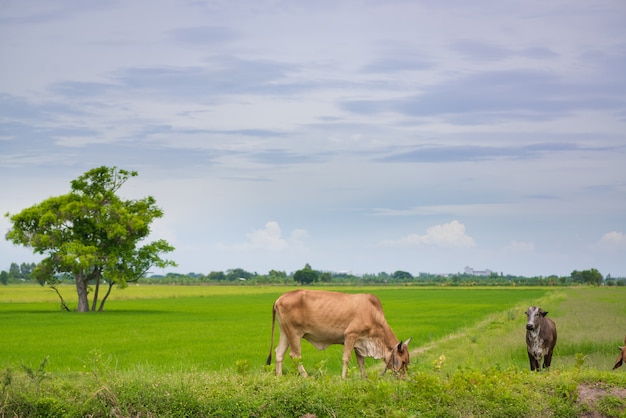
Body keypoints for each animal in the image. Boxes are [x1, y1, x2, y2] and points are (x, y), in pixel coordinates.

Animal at [264, 290, 410, 378]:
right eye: (403, 362)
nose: (404, 378)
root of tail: (280, 298)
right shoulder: (350, 335)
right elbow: (346, 358)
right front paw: (343, 378)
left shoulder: (360, 341)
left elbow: (361, 361)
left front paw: (364, 378)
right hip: (294, 333)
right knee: (295, 355)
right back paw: (306, 377)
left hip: (285, 332)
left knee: (279, 353)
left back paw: (279, 377)